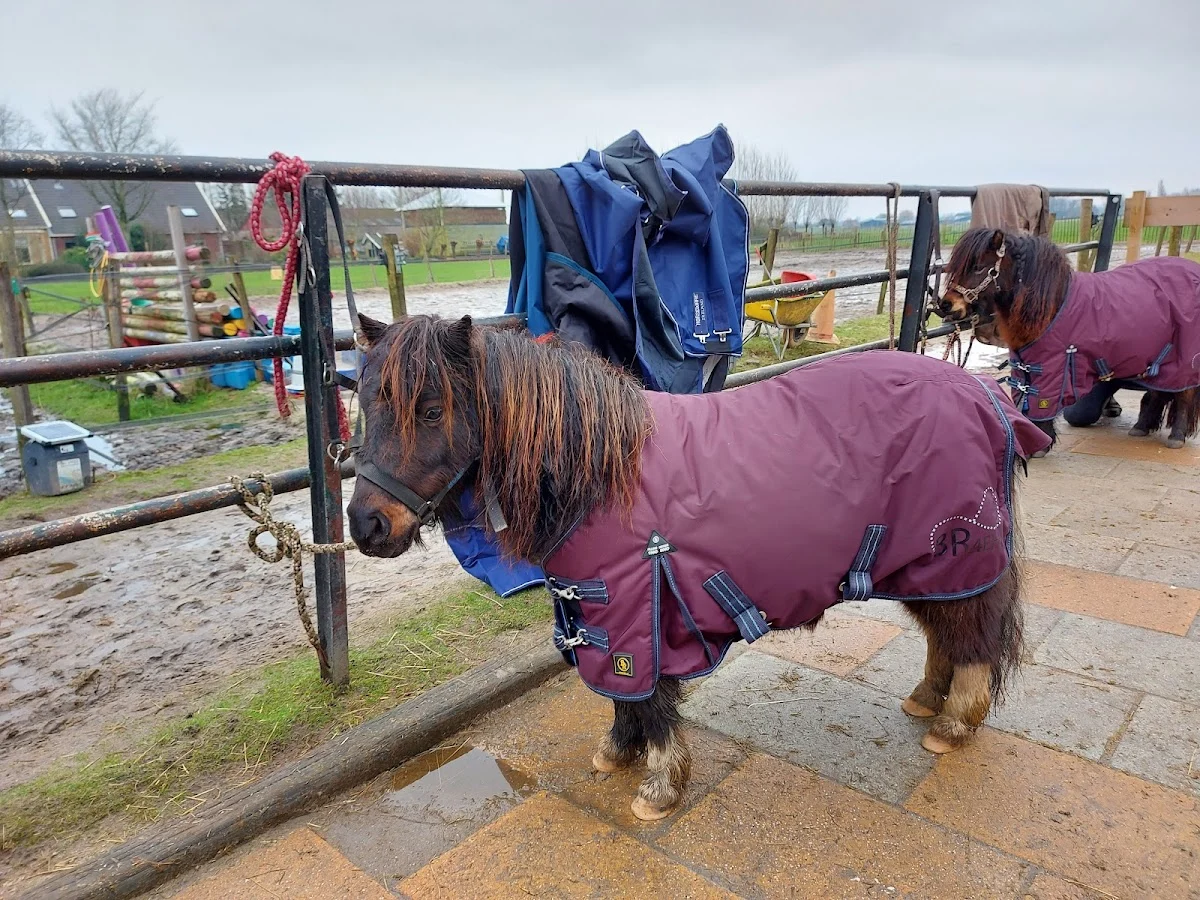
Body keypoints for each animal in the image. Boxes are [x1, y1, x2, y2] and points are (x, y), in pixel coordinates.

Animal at [347, 313, 1049, 821]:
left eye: (430, 409)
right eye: (365, 405)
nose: (366, 527)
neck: (600, 473)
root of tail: (987, 395)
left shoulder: (635, 611)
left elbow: (648, 697)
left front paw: (658, 787)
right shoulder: (597, 607)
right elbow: (624, 697)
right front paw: (618, 753)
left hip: (954, 554)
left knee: (973, 637)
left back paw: (954, 725)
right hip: (923, 566)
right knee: (945, 632)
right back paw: (928, 700)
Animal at [937, 227, 1200, 449]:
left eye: (979, 267)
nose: (945, 305)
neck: (1052, 306)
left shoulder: (1052, 366)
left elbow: (1041, 402)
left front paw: (1041, 444)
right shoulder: (1024, 363)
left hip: (1184, 360)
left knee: (1184, 394)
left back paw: (1176, 437)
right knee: (1159, 391)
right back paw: (1141, 427)